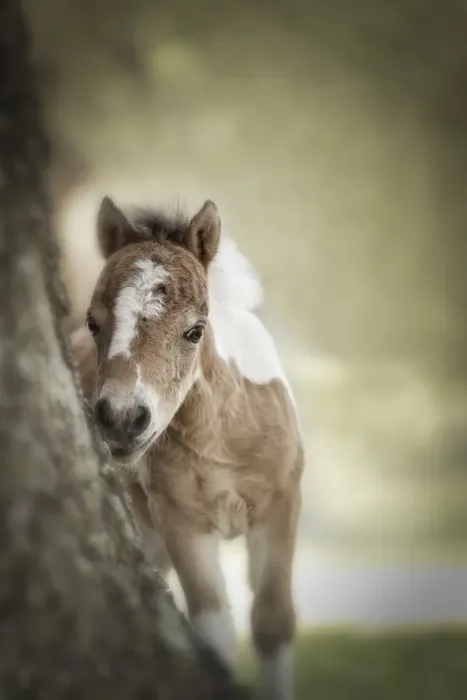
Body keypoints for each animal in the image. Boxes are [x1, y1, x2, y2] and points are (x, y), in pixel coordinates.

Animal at [69, 196, 304, 700]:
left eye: (195, 330)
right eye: (94, 323)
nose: (121, 419)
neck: (221, 438)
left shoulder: (281, 505)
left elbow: (272, 622)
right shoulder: (179, 520)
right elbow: (213, 634)